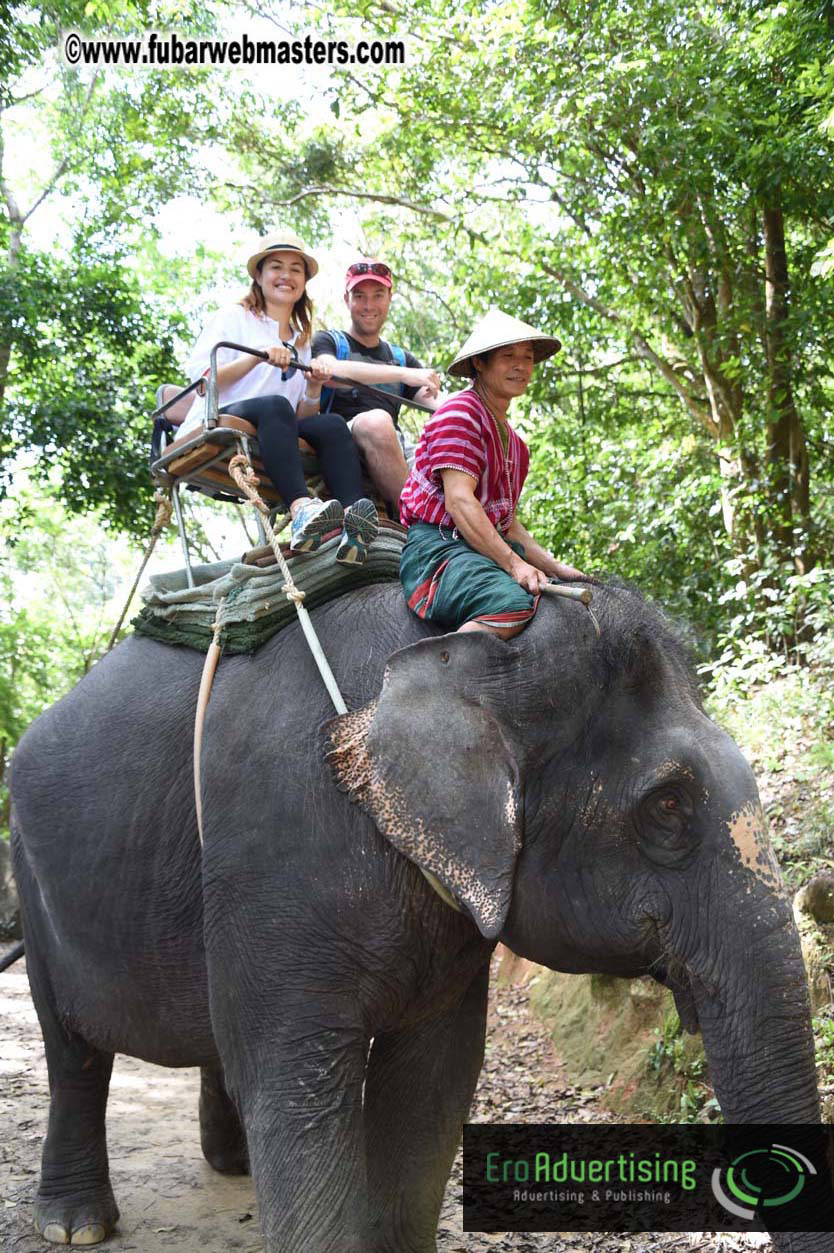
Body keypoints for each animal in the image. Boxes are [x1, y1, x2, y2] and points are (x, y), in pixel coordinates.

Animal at [9, 578, 831, 1252]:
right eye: (667, 805)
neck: (463, 644)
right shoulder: (278, 845)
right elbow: (297, 1091)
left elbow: (432, 1079)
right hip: (31, 881)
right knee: (72, 1050)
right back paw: (75, 1224)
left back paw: (231, 1165)